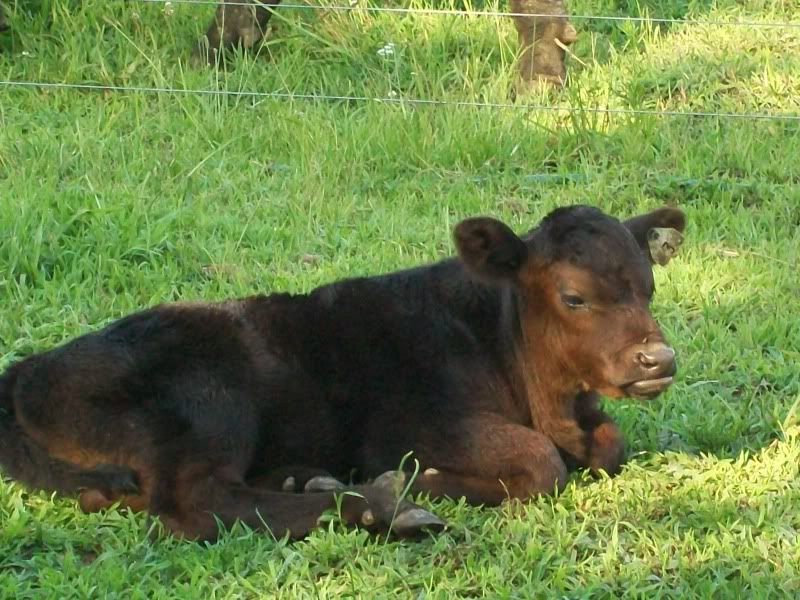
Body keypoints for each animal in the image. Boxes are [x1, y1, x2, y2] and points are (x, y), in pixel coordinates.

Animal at [0, 204, 686, 542]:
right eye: (574, 297)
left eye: (649, 287)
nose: (658, 359)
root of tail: (28, 371)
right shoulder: (415, 423)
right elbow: (543, 464)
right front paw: (424, 480)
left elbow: (611, 444)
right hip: (210, 402)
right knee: (196, 504)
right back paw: (381, 506)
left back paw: (314, 481)